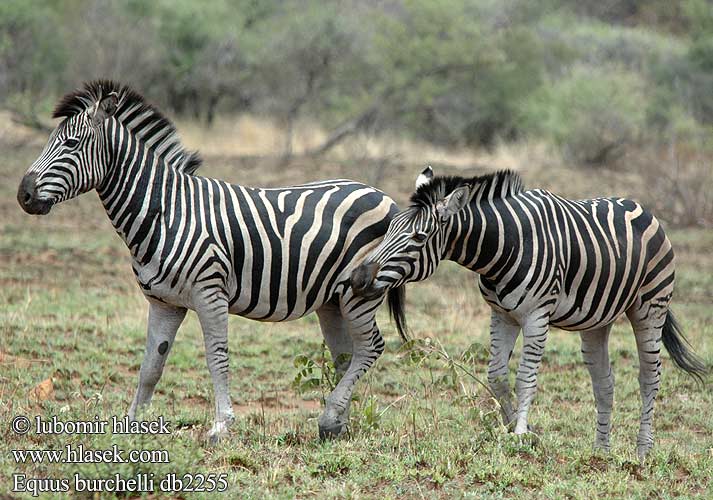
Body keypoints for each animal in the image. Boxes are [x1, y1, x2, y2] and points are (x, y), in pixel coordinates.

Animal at [16, 81, 406, 442]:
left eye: (71, 144)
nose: (24, 195)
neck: (165, 211)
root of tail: (382, 195)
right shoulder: (163, 302)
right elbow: (150, 365)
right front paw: (131, 423)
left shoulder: (210, 294)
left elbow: (216, 356)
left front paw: (221, 425)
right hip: (332, 300)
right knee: (346, 355)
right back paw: (337, 423)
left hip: (360, 292)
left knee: (371, 347)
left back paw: (331, 417)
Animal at [350, 166, 708, 458]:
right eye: (389, 228)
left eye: (418, 236)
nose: (357, 278)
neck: (502, 246)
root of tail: (642, 208)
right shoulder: (501, 314)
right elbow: (496, 375)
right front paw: (518, 429)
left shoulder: (536, 315)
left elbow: (525, 377)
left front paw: (520, 433)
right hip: (598, 320)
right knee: (604, 383)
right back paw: (601, 450)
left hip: (650, 307)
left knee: (649, 377)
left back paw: (643, 451)